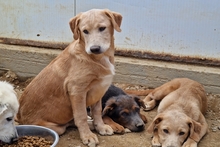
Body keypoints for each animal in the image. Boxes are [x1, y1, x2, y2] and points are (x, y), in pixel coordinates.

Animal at [16, 9, 123, 147]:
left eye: (102, 28)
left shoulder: (98, 90)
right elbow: (81, 116)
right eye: (85, 31)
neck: (96, 58)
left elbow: (97, 111)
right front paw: (87, 136)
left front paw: (100, 127)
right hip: (56, 127)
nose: (94, 49)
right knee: (68, 124)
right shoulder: (77, 90)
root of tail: (19, 117)